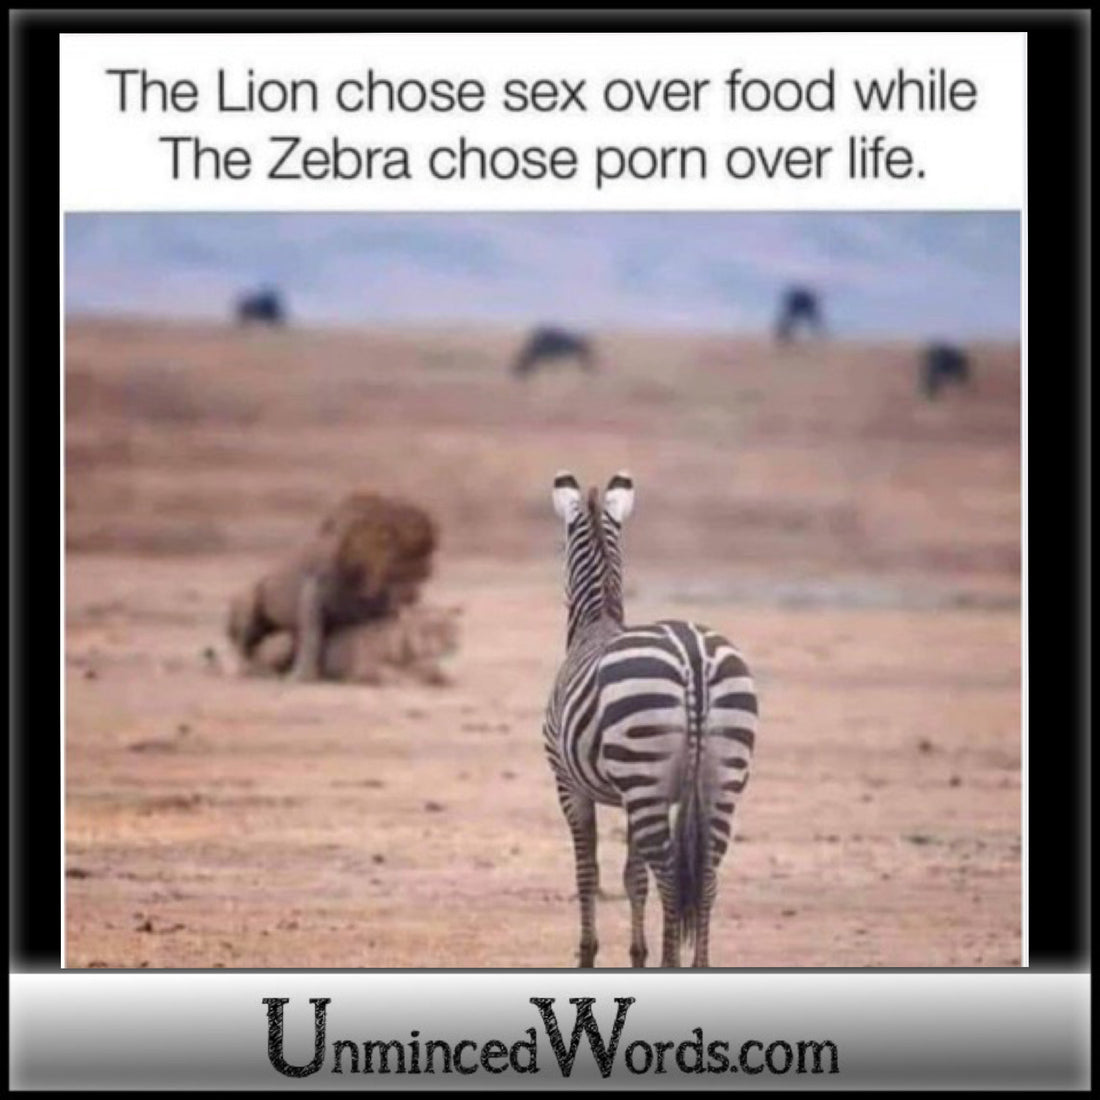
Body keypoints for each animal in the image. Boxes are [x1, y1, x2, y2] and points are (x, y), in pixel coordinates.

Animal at [227, 491, 438, 682]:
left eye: (425, 571)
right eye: (400, 568)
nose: (413, 595)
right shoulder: (314, 590)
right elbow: (312, 635)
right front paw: (302, 677)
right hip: (249, 605)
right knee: (245, 645)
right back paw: (254, 670)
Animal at [542, 470, 759, 968]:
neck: (596, 621)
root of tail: (694, 655)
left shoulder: (569, 785)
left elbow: (588, 871)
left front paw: (588, 954)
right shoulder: (632, 795)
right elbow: (631, 876)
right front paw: (636, 954)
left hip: (644, 774)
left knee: (672, 880)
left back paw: (670, 963)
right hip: (719, 780)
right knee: (706, 877)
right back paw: (698, 965)